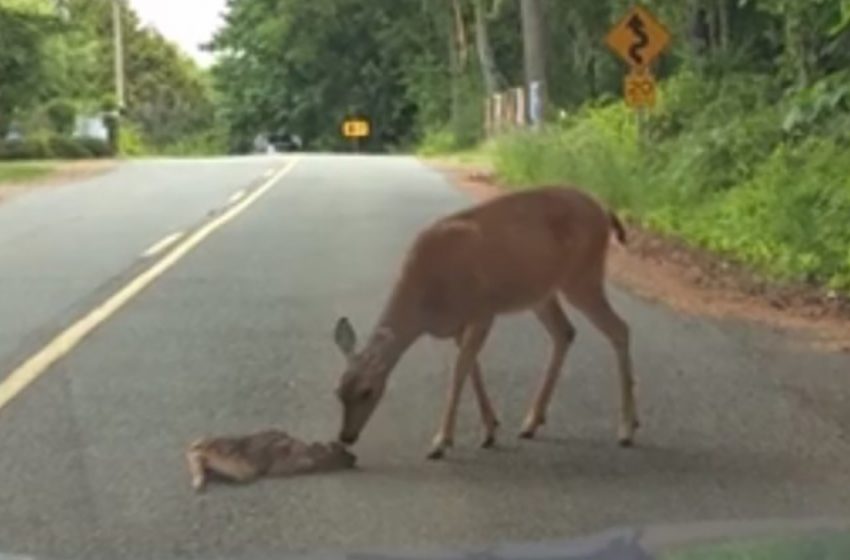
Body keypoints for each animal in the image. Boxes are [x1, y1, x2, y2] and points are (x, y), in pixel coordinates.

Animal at [332, 186, 636, 458]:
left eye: (367, 391)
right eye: (338, 391)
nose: (346, 436)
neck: (425, 303)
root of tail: (604, 209)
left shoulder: (482, 312)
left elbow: (459, 371)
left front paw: (441, 442)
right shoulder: (459, 324)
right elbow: (471, 368)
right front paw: (490, 430)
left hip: (582, 277)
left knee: (620, 328)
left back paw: (627, 429)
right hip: (541, 293)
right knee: (565, 332)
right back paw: (532, 423)